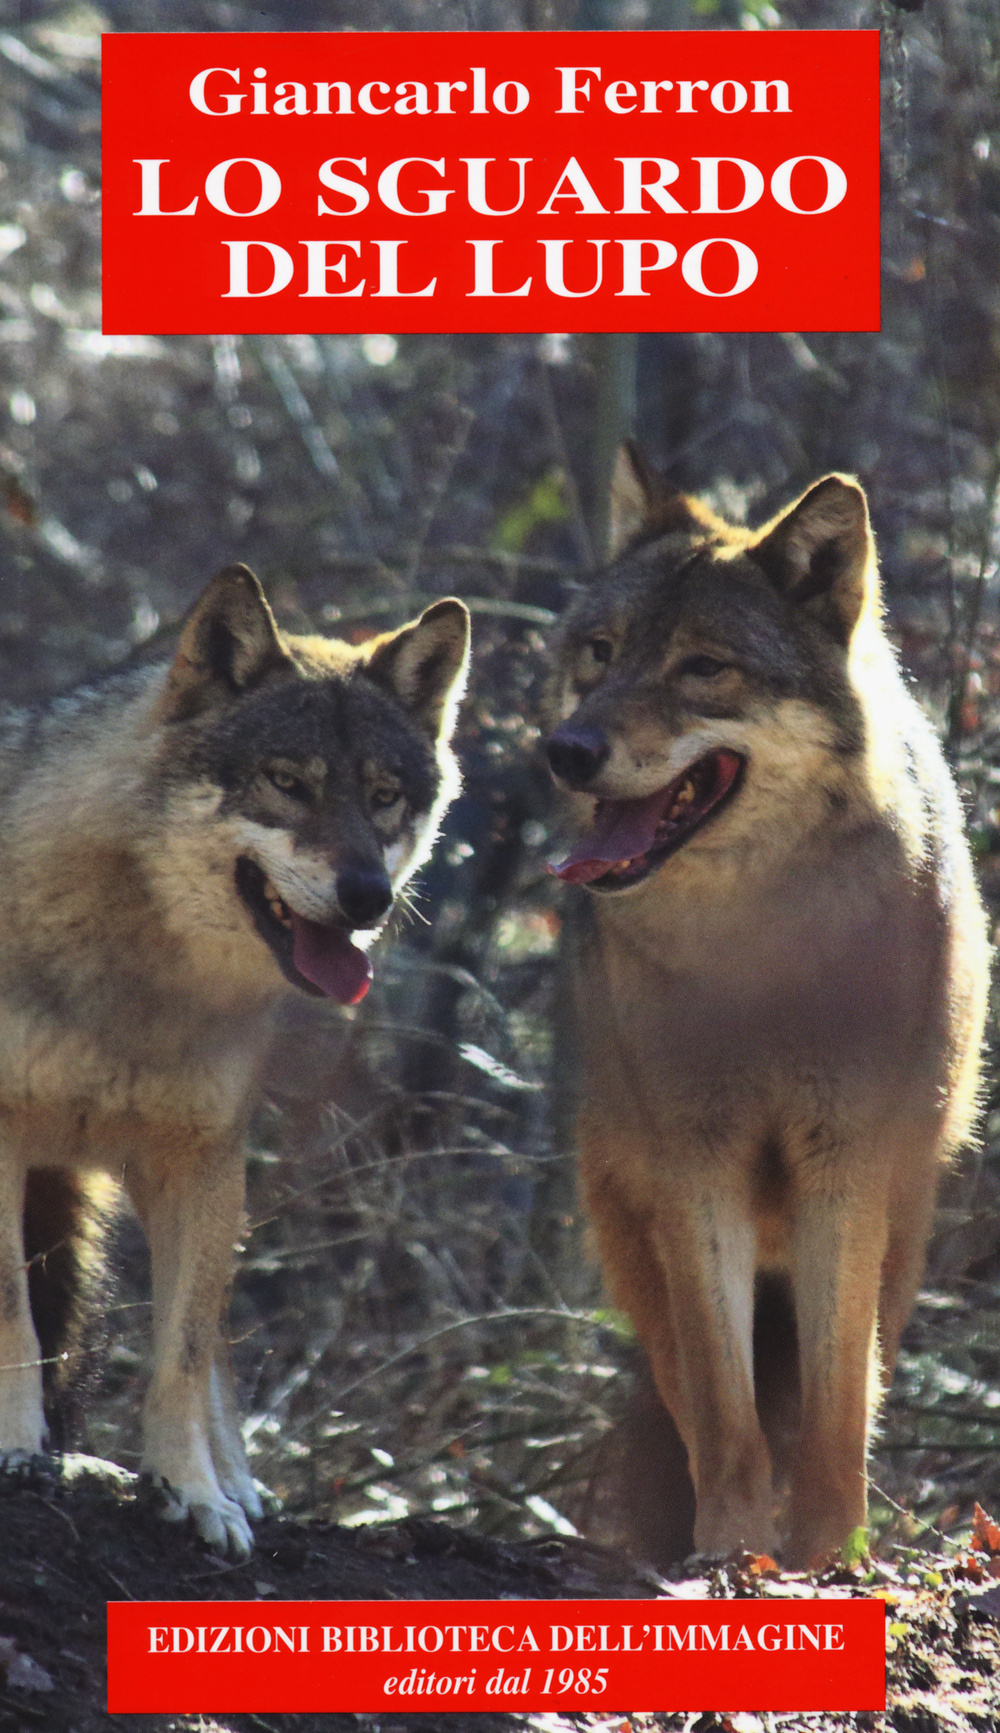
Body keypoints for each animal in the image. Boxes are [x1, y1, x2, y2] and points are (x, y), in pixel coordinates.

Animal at [0, 568, 467, 1559]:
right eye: (287, 783)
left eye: (384, 796)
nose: (369, 896)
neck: (136, 972)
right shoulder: (4, 1140)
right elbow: (12, 1311)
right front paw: (17, 1449)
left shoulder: (201, 1158)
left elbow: (181, 1354)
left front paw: (196, 1493)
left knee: (211, 1334)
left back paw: (237, 1485)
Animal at [547, 450, 991, 1573]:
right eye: (600, 653)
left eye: (702, 667)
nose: (565, 748)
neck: (760, 960)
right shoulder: (695, 1168)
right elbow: (726, 1413)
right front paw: (729, 1556)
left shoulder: (845, 1166)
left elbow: (836, 1412)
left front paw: (830, 1558)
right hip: (635, 1227)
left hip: (901, 1225)